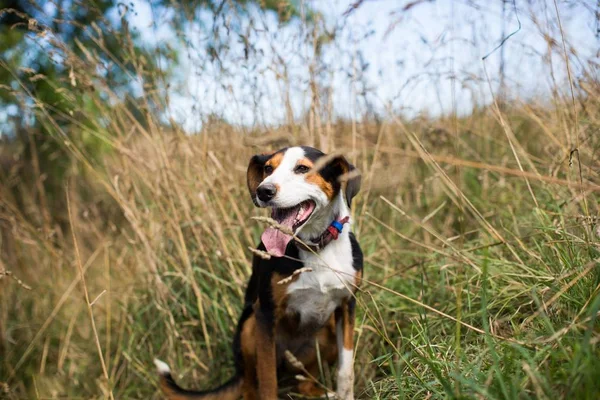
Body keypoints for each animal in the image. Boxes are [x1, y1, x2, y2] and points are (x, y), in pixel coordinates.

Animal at [155, 147, 364, 400]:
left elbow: (346, 371)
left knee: (303, 385)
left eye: (302, 168)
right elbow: (267, 381)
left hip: (326, 333)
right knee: (251, 386)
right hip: (249, 325)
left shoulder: (347, 305)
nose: (263, 191)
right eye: (268, 168)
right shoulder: (265, 313)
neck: (315, 248)